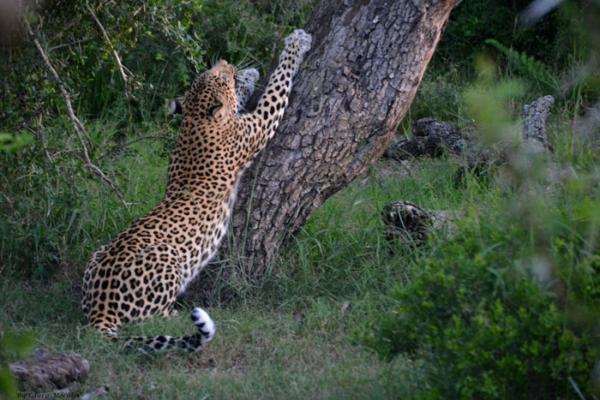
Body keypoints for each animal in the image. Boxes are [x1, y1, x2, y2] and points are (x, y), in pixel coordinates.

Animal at [81, 29, 312, 352]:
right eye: (220, 76)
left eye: (213, 72)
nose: (226, 61)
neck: (194, 119)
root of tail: (100, 310)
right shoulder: (259, 125)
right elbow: (277, 85)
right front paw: (297, 43)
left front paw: (251, 74)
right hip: (167, 262)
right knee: (152, 318)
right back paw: (176, 313)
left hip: (96, 255)